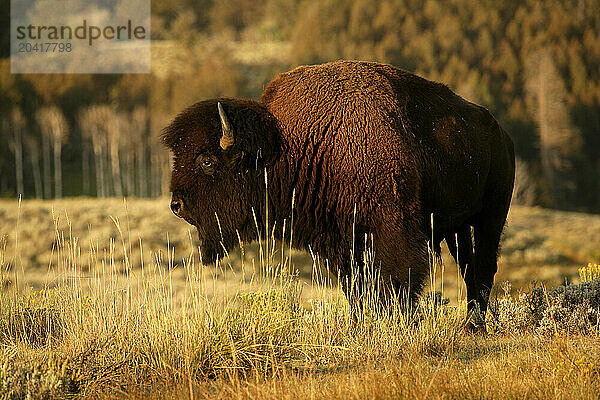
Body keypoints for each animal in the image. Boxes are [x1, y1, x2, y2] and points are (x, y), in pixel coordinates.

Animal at [164, 61, 516, 324]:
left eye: (206, 161)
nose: (176, 205)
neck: (289, 144)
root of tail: (500, 132)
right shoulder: (341, 241)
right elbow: (356, 287)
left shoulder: (393, 229)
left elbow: (396, 281)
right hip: (458, 228)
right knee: (470, 268)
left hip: (491, 217)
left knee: (485, 266)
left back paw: (475, 326)